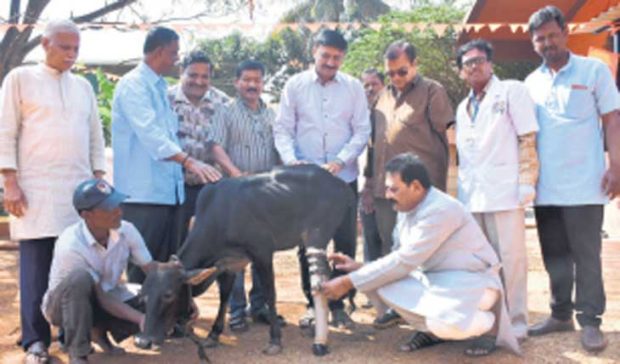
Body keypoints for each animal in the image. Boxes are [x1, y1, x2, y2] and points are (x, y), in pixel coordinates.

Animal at [140, 166, 354, 358]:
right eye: (143, 295)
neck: (221, 214)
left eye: (168, 294)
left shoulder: (262, 253)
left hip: (317, 237)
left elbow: (270, 294)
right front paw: (213, 334)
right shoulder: (228, 264)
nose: (143, 341)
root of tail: (339, 182)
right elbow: (224, 297)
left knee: (321, 282)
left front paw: (275, 340)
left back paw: (321, 339)